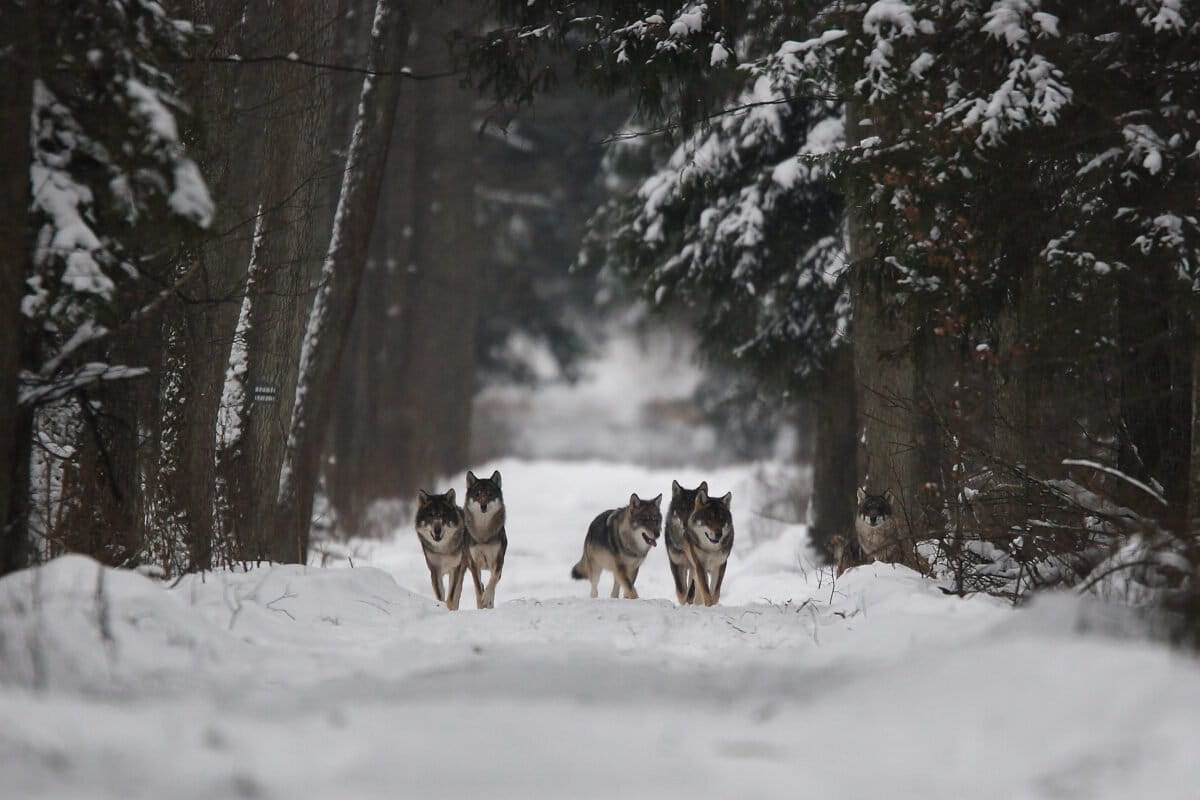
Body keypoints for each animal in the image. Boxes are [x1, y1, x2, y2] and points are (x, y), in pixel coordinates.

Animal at [463, 469, 507, 609]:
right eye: (477, 494)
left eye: (489, 494)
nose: (483, 506)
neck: (483, 534)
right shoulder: (474, 564)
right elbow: (478, 588)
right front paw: (480, 605)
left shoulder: (498, 561)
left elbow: (492, 581)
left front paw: (487, 598)